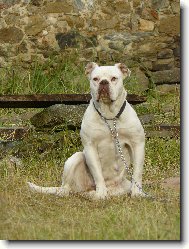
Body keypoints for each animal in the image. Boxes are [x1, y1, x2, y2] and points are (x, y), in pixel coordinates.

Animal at [27, 62, 145, 200]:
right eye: (95, 79)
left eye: (114, 78)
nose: (104, 82)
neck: (109, 115)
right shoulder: (90, 147)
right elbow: (98, 173)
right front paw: (101, 194)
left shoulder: (137, 144)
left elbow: (137, 172)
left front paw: (137, 193)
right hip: (75, 159)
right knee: (65, 188)